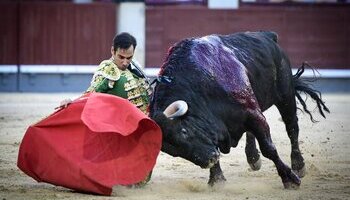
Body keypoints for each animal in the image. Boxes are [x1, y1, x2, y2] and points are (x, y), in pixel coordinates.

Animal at [149, 31, 330, 189]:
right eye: (174, 152)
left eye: (184, 131)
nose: (209, 160)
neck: (200, 86)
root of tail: (269, 35)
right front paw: (217, 180)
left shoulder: (252, 113)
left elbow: (269, 148)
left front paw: (290, 180)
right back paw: (253, 157)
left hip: (285, 95)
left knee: (292, 127)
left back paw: (298, 165)